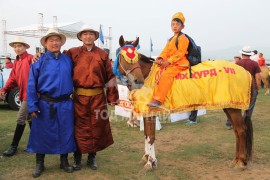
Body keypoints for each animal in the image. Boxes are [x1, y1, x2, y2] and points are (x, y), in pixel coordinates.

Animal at [115, 35, 254, 171]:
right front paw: (147, 157)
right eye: (123, 57)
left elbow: (151, 136)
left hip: (233, 107)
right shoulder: (146, 112)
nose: (138, 80)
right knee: (236, 130)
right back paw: (236, 160)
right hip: (229, 105)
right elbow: (146, 135)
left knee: (241, 130)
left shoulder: (151, 112)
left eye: (137, 57)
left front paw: (151, 162)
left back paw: (240, 162)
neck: (149, 76)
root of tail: (245, 71)